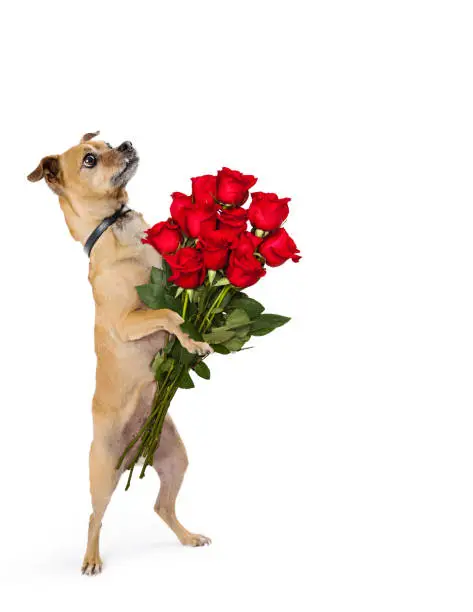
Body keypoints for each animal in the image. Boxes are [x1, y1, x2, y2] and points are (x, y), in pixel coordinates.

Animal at [28, 131, 212, 576]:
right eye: (90, 159)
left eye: (108, 142)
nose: (126, 143)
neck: (118, 226)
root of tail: (135, 454)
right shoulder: (129, 322)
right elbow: (168, 313)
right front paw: (194, 341)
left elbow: (181, 294)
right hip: (103, 474)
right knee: (94, 517)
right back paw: (92, 559)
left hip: (175, 459)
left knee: (162, 507)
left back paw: (188, 537)